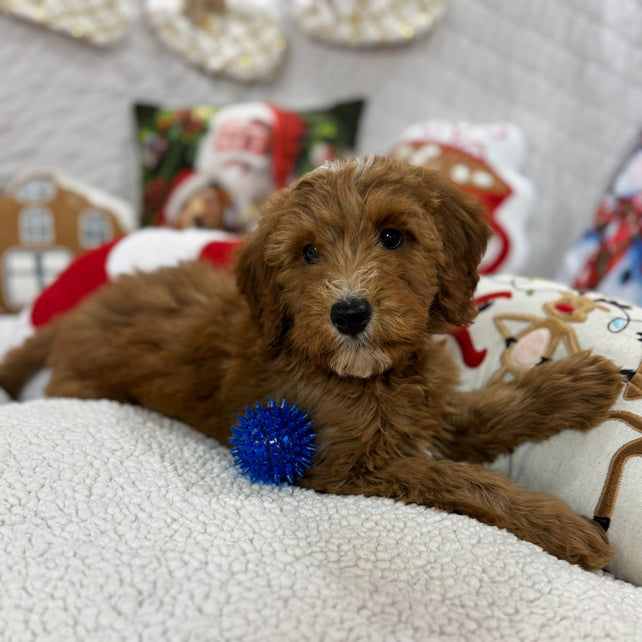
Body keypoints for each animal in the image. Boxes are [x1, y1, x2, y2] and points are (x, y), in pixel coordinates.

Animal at [0, 155, 620, 564]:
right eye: (307, 253)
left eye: (393, 237)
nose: (349, 313)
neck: (371, 376)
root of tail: (70, 316)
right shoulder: (347, 466)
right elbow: (457, 476)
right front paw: (560, 525)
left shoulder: (430, 408)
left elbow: (491, 411)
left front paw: (577, 382)